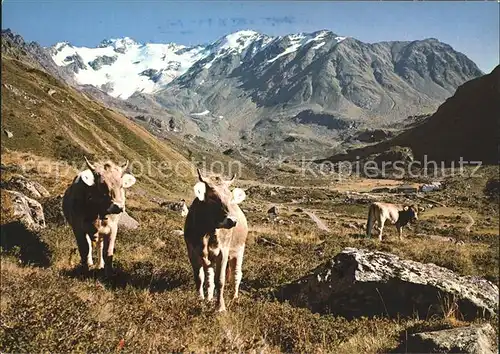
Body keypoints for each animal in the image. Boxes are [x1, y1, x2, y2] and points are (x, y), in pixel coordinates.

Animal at [184, 170, 248, 312]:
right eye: (212, 197)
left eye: (230, 197)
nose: (232, 221)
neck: (206, 233)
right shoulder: (192, 251)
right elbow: (200, 278)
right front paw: (200, 299)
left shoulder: (223, 252)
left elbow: (220, 280)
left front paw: (220, 307)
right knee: (209, 277)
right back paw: (208, 298)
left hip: (239, 250)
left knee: (236, 274)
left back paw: (234, 297)